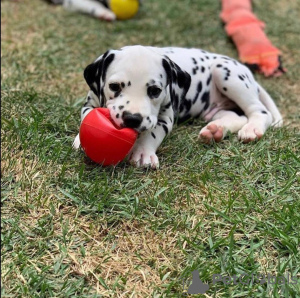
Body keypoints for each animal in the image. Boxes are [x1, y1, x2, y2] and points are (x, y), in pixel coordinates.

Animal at [72, 45, 282, 169]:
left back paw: (252, 129)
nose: (132, 118)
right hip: (213, 109)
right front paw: (81, 139)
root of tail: (247, 71)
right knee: (237, 117)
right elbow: (86, 117)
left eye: (155, 90)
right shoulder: (90, 102)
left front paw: (142, 152)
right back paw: (215, 131)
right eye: (114, 86)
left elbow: (152, 133)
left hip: (226, 73)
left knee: (260, 112)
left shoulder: (165, 118)